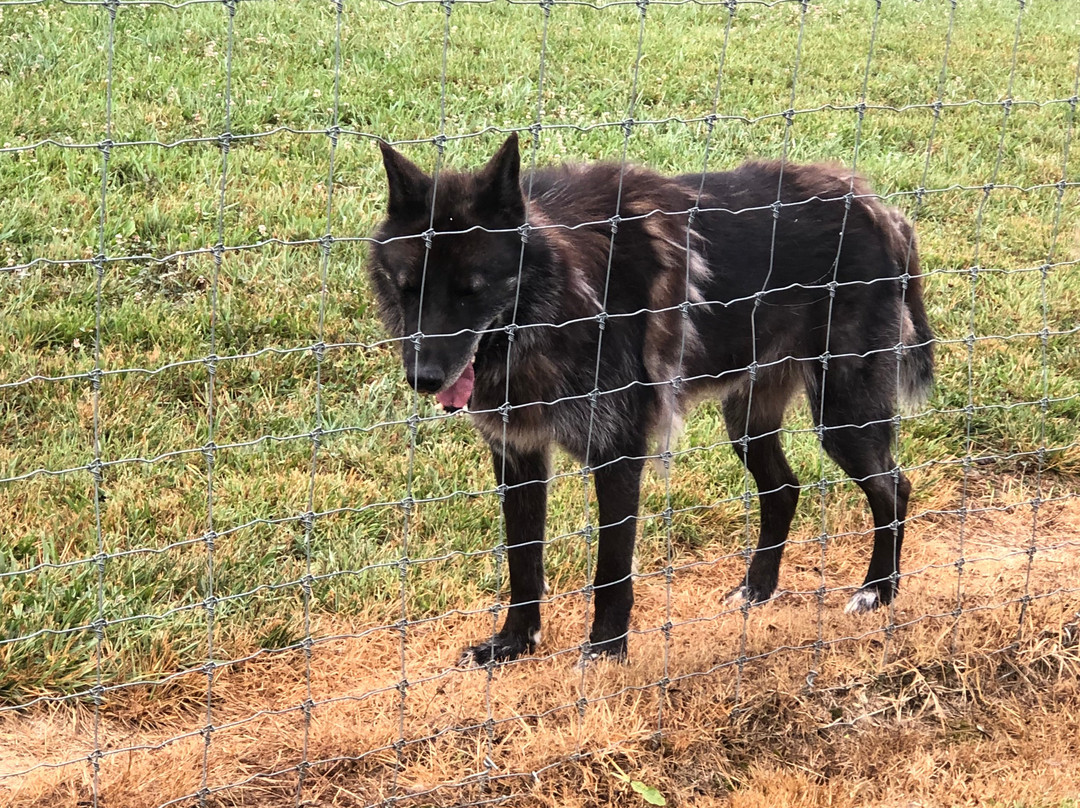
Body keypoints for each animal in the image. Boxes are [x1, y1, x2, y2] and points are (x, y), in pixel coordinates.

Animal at [366, 134, 934, 664]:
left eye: (472, 290)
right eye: (409, 288)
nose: (423, 377)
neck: (562, 297)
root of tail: (877, 208)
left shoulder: (618, 456)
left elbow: (611, 569)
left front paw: (605, 650)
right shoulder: (518, 456)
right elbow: (522, 562)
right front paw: (513, 643)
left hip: (842, 420)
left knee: (895, 489)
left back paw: (878, 591)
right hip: (748, 424)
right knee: (785, 489)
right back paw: (757, 588)